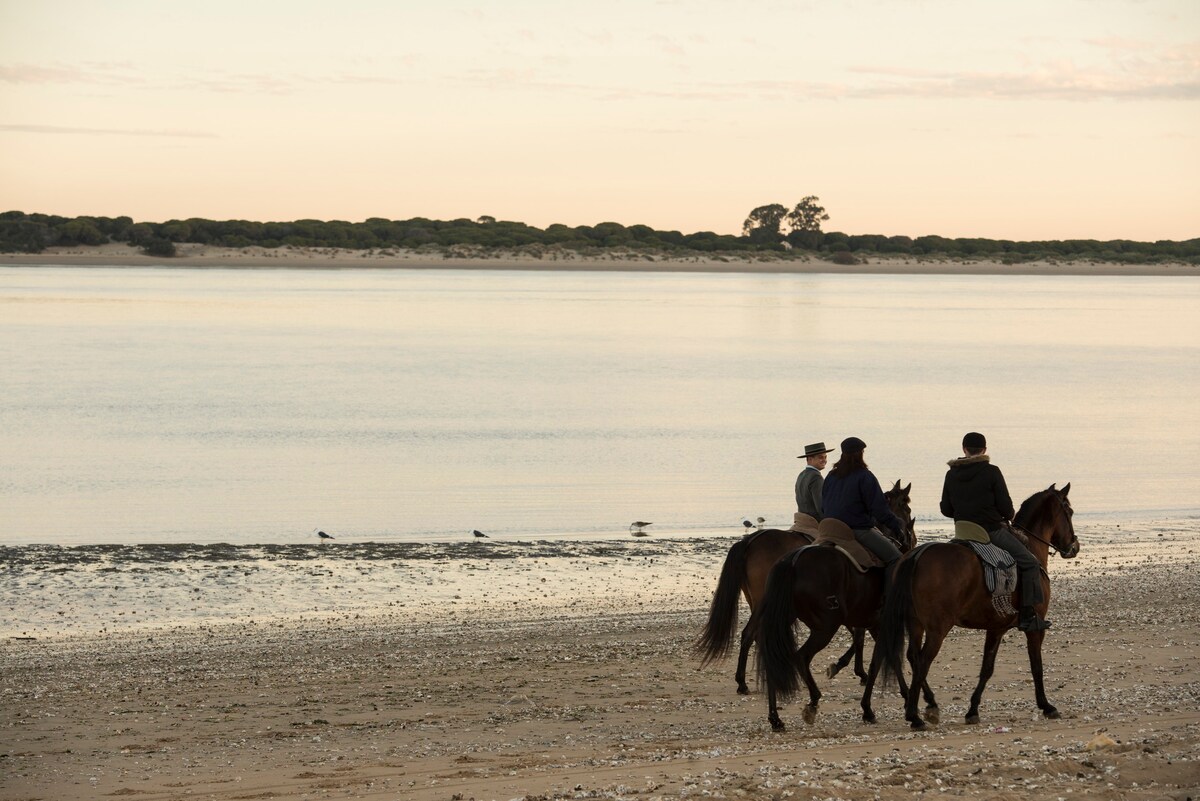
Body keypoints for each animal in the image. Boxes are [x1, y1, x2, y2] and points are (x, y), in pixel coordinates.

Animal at [696, 482, 907, 695]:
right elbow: (859, 637)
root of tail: (750, 541)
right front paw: (852, 669)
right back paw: (745, 681)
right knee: (752, 633)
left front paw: (853, 669)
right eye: (905, 507)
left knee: (755, 635)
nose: (908, 538)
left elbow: (858, 636)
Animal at [753, 489, 921, 733]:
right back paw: (813, 700)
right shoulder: (880, 623)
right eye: (906, 508)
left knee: (773, 658)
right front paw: (881, 705)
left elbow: (885, 658)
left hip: (786, 621)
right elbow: (878, 661)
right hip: (826, 626)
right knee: (801, 657)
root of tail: (792, 561)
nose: (912, 540)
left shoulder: (874, 624)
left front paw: (895, 702)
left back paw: (775, 717)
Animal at [878, 484, 1084, 729]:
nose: (1074, 546)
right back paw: (914, 714)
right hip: (937, 628)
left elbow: (987, 668)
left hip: (915, 624)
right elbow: (1036, 666)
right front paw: (1046, 705)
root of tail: (917, 556)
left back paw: (927, 705)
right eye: (1069, 512)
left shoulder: (996, 628)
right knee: (923, 660)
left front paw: (973, 709)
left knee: (913, 656)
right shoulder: (1035, 627)